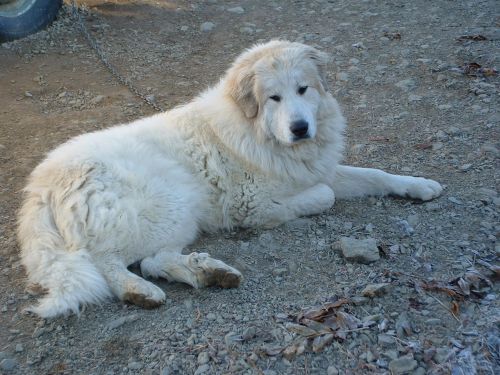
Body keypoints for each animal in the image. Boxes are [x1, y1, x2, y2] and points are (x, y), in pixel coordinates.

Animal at [18, 40, 442, 318]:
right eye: (273, 98)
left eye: (303, 89)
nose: (300, 128)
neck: (259, 131)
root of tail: (42, 186)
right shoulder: (254, 204)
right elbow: (325, 196)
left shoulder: (316, 168)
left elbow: (373, 175)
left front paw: (419, 185)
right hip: (168, 204)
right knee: (111, 262)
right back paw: (141, 292)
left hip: (175, 216)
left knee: (154, 259)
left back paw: (209, 273)